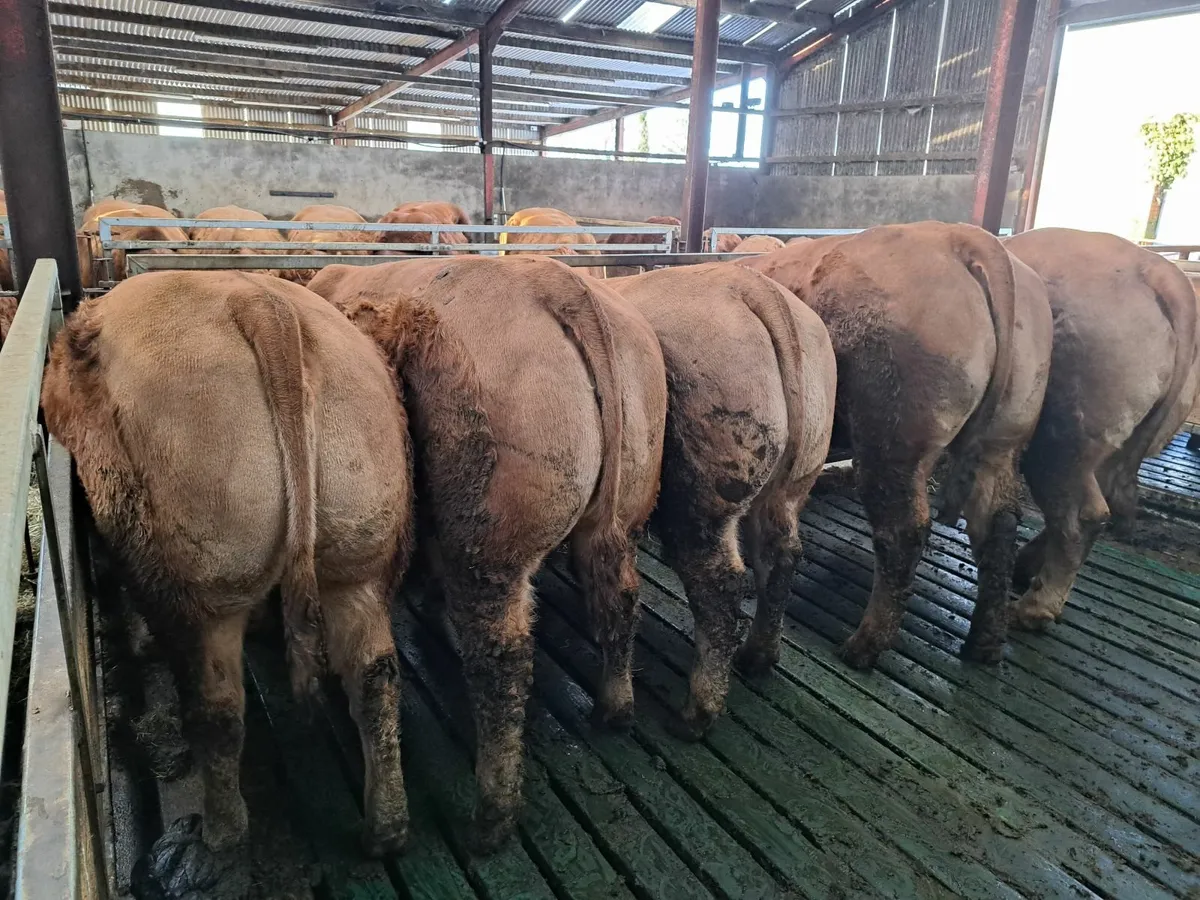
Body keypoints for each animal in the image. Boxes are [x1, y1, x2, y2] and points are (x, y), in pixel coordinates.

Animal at [41, 272, 414, 857]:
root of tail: (261, 305)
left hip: (205, 581)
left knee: (219, 706)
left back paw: (221, 831)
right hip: (361, 556)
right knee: (375, 678)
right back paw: (387, 829)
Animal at [308, 256, 666, 850]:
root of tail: (558, 284)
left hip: (489, 539)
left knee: (500, 660)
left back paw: (491, 818)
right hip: (625, 504)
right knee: (620, 597)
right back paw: (615, 710)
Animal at [606, 263, 836, 737]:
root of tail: (756, 290)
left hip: (704, 488)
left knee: (719, 581)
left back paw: (696, 713)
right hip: (794, 475)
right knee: (780, 556)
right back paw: (758, 657)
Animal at [742, 221, 1052, 667]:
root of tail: (960, 237)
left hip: (891, 436)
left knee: (903, 531)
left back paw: (863, 646)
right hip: (1003, 438)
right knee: (998, 523)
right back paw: (984, 643)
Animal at [1004, 228, 1200, 630]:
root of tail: (1156, 270)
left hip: (1064, 426)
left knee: (1082, 513)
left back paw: (1033, 609)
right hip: (1120, 438)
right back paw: (1026, 570)